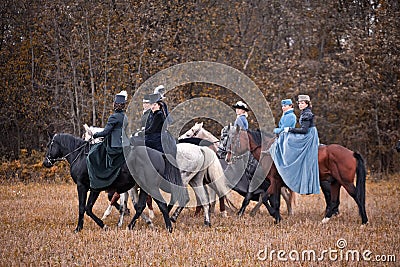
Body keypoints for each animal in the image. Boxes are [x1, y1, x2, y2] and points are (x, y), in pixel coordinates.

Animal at [43, 133, 188, 232]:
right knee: (144, 206)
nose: (46, 162)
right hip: (145, 187)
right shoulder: (94, 189)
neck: (81, 157)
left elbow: (84, 208)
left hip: (150, 187)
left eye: (50, 145)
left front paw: (83, 227)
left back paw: (166, 227)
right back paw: (135, 226)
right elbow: (88, 208)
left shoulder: (84, 187)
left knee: (158, 205)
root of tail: (159, 155)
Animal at [225, 126, 368, 225]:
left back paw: (364, 221)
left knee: (357, 196)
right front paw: (277, 218)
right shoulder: (276, 184)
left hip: (345, 182)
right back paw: (324, 221)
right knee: (334, 201)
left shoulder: (274, 182)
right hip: (335, 182)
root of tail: (351, 153)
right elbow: (274, 201)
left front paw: (275, 216)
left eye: (235, 140)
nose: (227, 157)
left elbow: (265, 198)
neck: (268, 152)